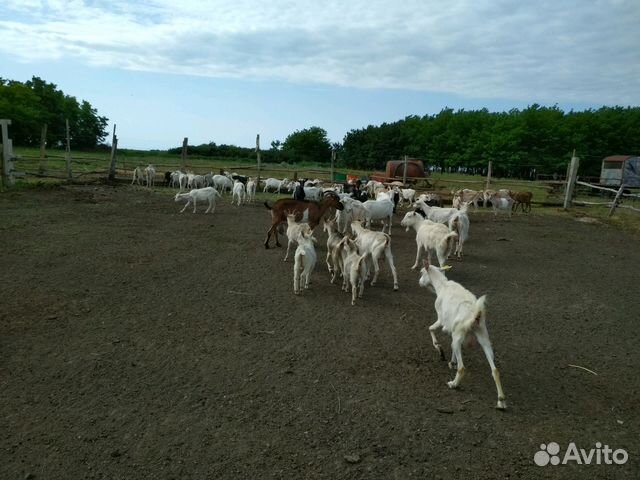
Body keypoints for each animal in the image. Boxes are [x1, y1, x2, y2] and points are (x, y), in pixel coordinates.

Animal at [418, 260, 508, 410]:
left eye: (421, 272)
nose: (419, 282)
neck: (442, 285)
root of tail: (475, 317)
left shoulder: (442, 321)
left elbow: (430, 329)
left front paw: (439, 349)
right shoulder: (452, 330)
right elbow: (452, 346)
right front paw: (452, 361)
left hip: (461, 333)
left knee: (462, 368)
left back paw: (453, 384)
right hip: (483, 337)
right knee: (495, 371)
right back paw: (501, 401)